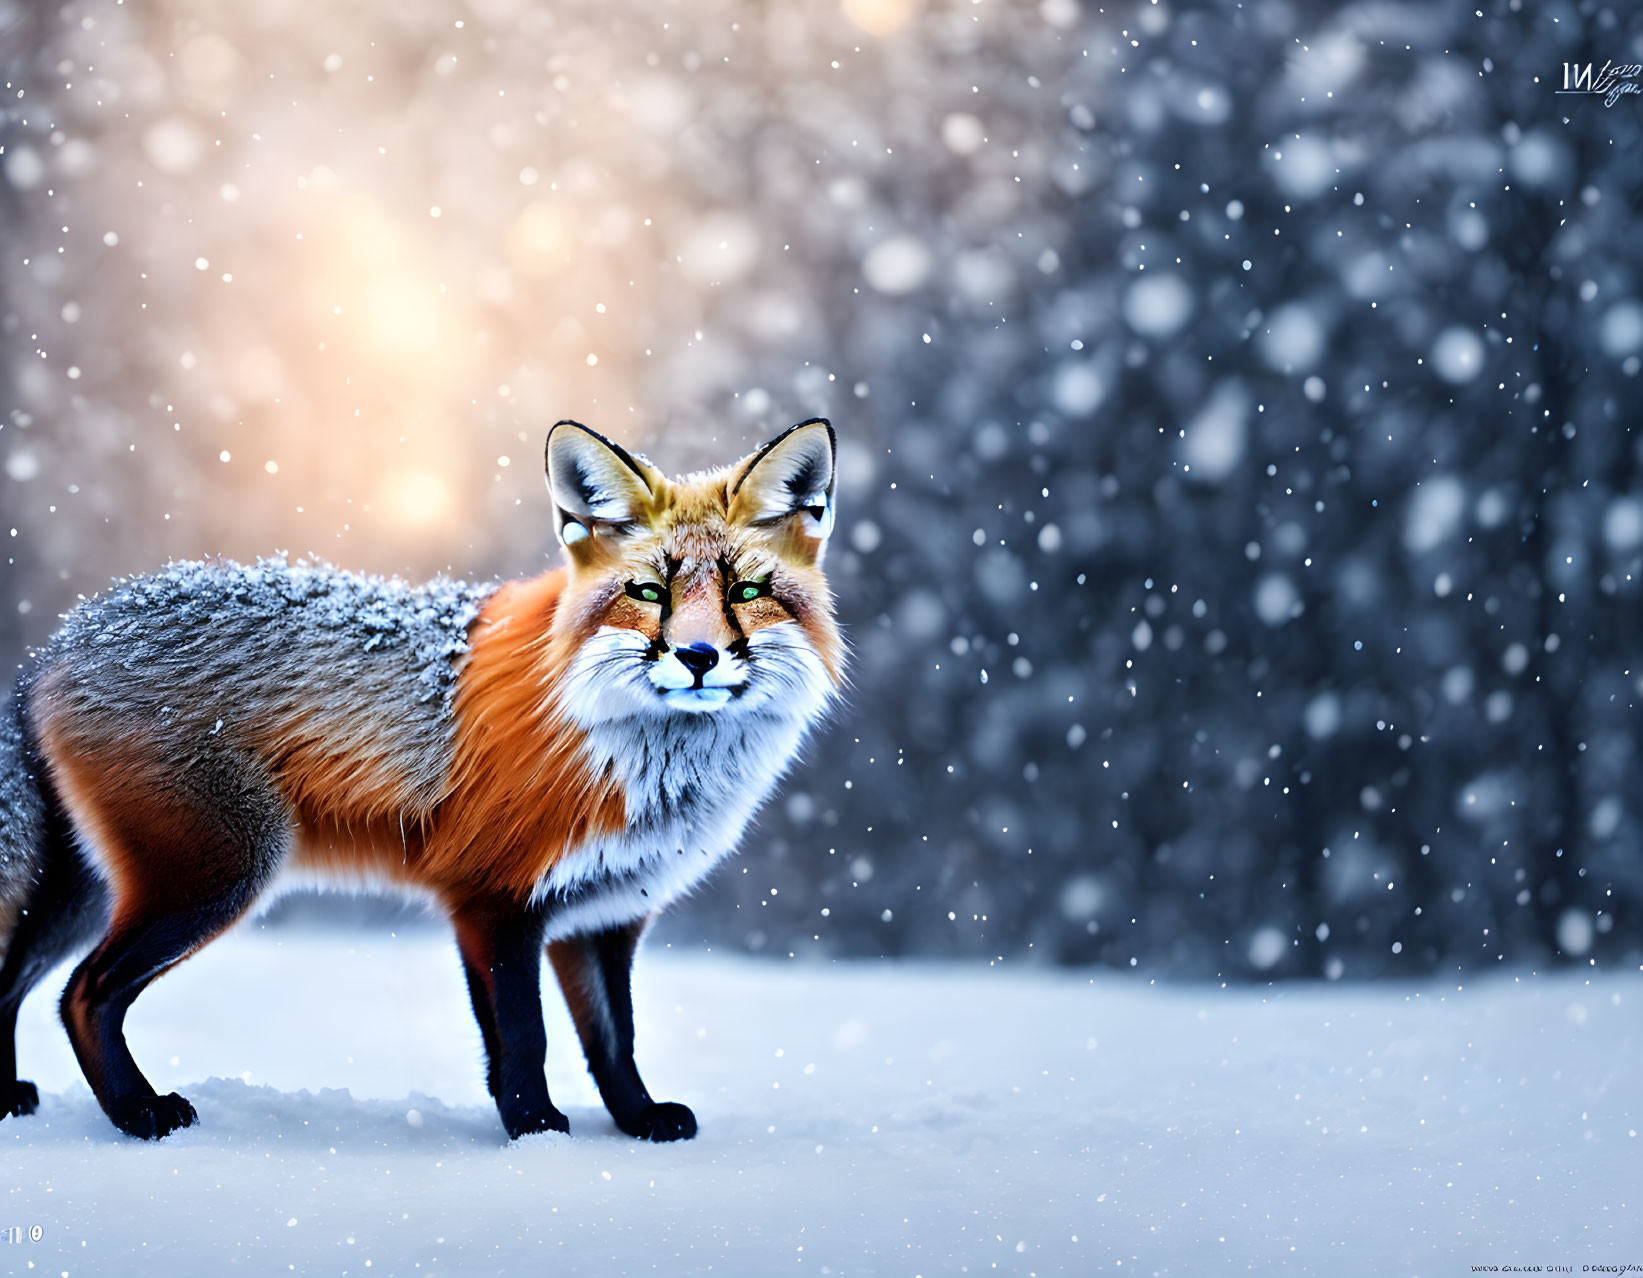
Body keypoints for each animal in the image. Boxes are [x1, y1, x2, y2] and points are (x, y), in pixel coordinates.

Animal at [0, 423, 847, 1143]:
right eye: (647, 594)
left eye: (744, 593)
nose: (699, 657)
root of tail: (57, 645)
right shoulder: (494, 899)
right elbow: (527, 1037)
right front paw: (536, 1130)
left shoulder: (602, 917)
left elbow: (614, 1043)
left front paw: (635, 1122)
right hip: (213, 878)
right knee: (83, 995)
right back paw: (138, 1114)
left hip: (94, 893)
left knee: (12, 982)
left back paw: (12, 1099)